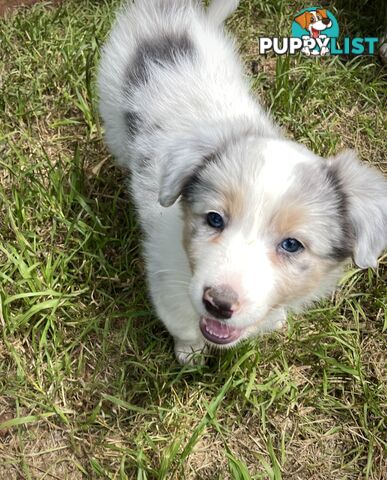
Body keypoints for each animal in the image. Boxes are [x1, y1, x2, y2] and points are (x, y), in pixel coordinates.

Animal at [99, 0, 387, 364]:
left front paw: (274, 321)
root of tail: (169, 13)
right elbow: (182, 323)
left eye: (292, 245)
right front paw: (190, 354)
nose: (218, 304)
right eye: (214, 219)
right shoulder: (165, 276)